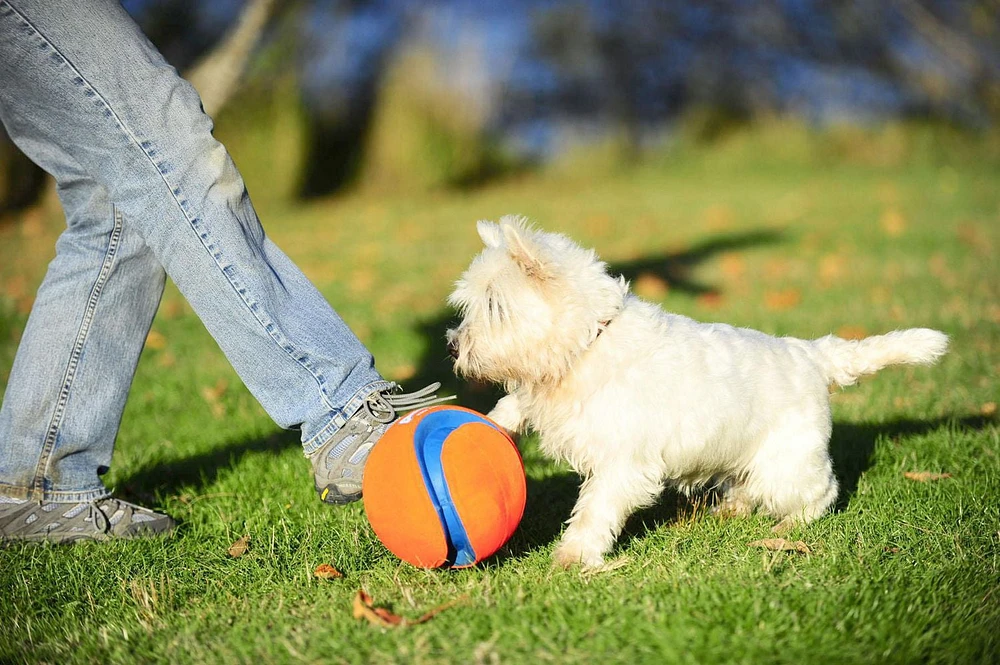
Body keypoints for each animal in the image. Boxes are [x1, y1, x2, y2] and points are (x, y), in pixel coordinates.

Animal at [450, 215, 948, 568]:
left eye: (493, 306)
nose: (454, 344)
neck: (589, 342)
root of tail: (812, 355)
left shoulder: (622, 463)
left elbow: (594, 510)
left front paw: (573, 556)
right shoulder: (543, 391)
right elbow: (514, 403)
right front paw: (491, 422)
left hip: (787, 463)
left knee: (821, 492)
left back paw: (792, 523)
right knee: (749, 487)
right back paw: (729, 510)